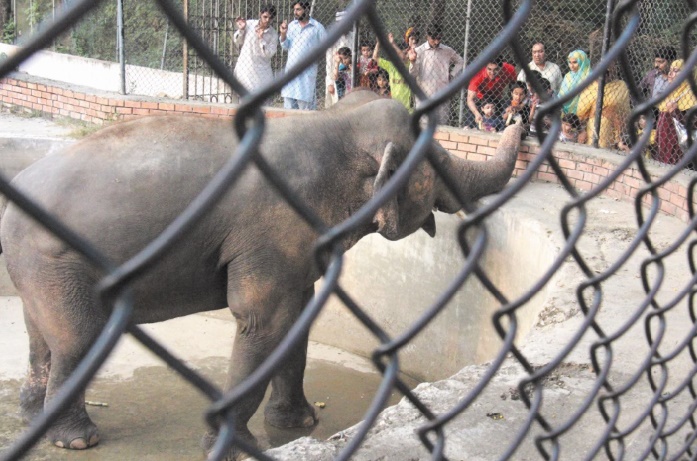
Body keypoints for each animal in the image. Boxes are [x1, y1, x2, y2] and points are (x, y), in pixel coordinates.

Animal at [0, 89, 520, 456]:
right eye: (434, 160)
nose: (519, 116)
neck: (333, 123)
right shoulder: (271, 232)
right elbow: (262, 321)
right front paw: (232, 449)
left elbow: (296, 321)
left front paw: (300, 425)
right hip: (55, 258)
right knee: (78, 338)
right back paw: (76, 440)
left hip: (36, 266)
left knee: (40, 332)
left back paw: (32, 413)